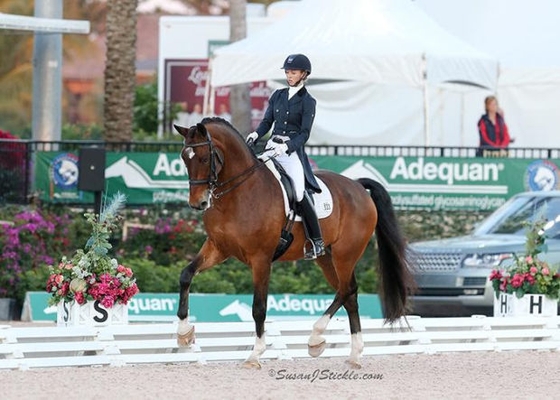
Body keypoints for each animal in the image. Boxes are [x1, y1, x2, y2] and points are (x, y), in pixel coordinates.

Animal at [175, 117, 416, 368]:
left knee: (347, 290)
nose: (198, 203)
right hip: (326, 258)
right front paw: (184, 334)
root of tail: (358, 186)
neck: (239, 193)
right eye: (184, 158)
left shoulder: (261, 259)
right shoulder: (218, 248)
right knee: (348, 294)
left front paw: (255, 355)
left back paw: (316, 337)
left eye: (204, 158)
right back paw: (353, 354)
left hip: (345, 255)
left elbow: (259, 308)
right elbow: (186, 275)